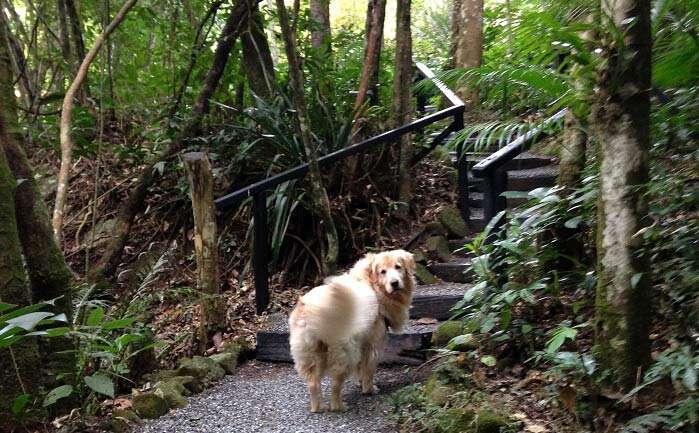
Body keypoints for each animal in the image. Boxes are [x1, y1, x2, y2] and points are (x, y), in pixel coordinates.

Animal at [288, 248, 416, 410]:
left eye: (398, 267)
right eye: (383, 271)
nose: (395, 283)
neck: (373, 285)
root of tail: (311, 308)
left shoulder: (362, 342)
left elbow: (361, 368)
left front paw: (361, 383)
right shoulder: (373, 344)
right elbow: (368, 370)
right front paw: (368, 388)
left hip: (313, 352)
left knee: (313, 382)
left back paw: (318, 408)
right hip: (345, 352)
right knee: (335, 383)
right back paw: (339, 406)